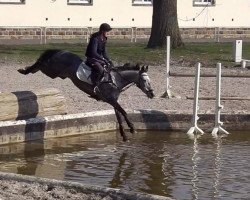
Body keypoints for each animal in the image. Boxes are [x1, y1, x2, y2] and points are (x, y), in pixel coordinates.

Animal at [18, 49, 154, 141]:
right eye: (145, 80)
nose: (152, 94)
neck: (116, 80)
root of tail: (63, 52)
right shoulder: (111, 100)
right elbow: (124, 112)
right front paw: (132, 129)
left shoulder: (113, 101)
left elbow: (119, 116)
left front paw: (124, 135)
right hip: (52, 70)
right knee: (41, 63)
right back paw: (24, 70)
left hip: (56, 72)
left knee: (41, 65)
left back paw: (25, 70)